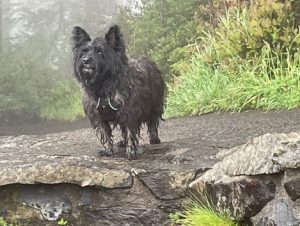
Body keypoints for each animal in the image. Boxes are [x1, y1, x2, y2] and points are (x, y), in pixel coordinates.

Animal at [72, 25, 166, 159]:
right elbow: (105, 134)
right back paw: (122, 141)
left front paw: (131, 151)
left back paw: (154, 138)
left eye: (100, 52)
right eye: (84, 51)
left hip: (154, 103)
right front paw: (108, 150)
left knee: (152, 120)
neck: (103, 85)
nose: (85, 60)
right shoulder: (98, 117)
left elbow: (130, 132)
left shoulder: (129, 112)